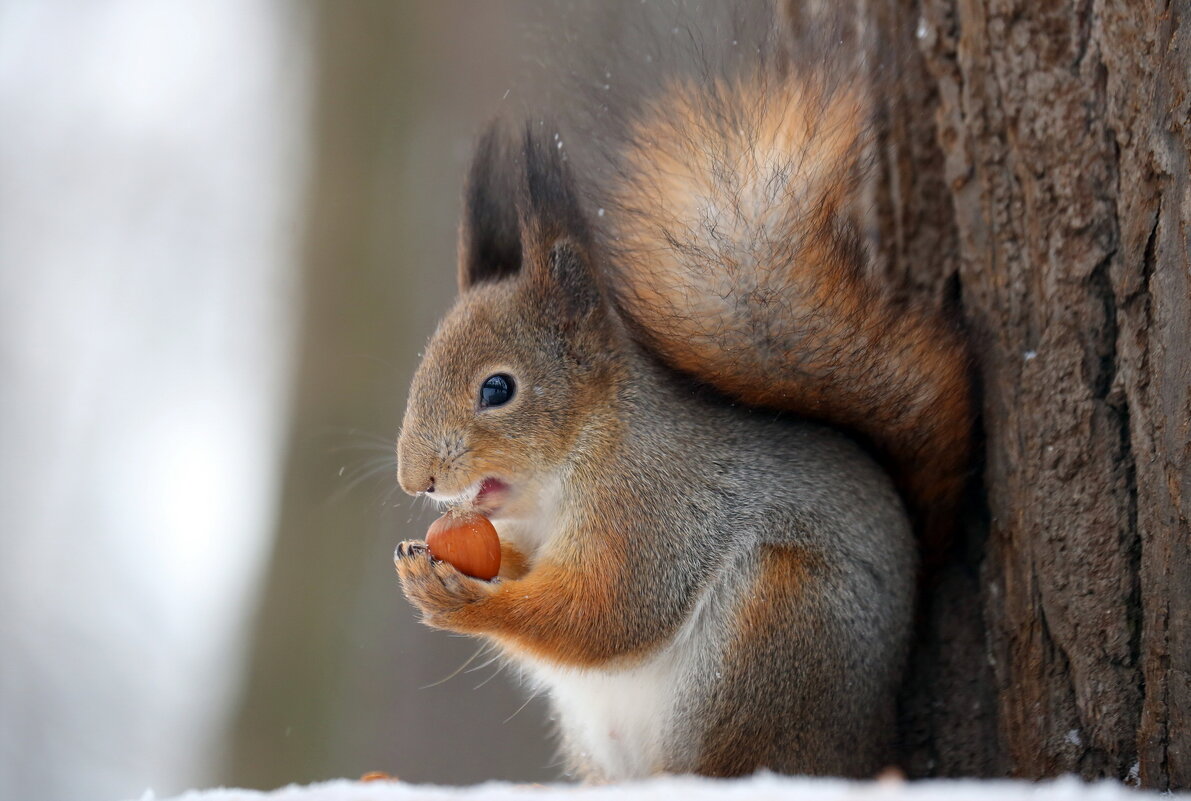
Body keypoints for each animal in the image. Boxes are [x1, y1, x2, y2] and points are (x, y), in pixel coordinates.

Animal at [395, 1, 971, 780]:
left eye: (497, 389)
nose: (414, 478)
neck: (582, 455)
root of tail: (866, 743)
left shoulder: (654, 512)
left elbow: (606, 615)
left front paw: (460, 601)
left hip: (776, 634)